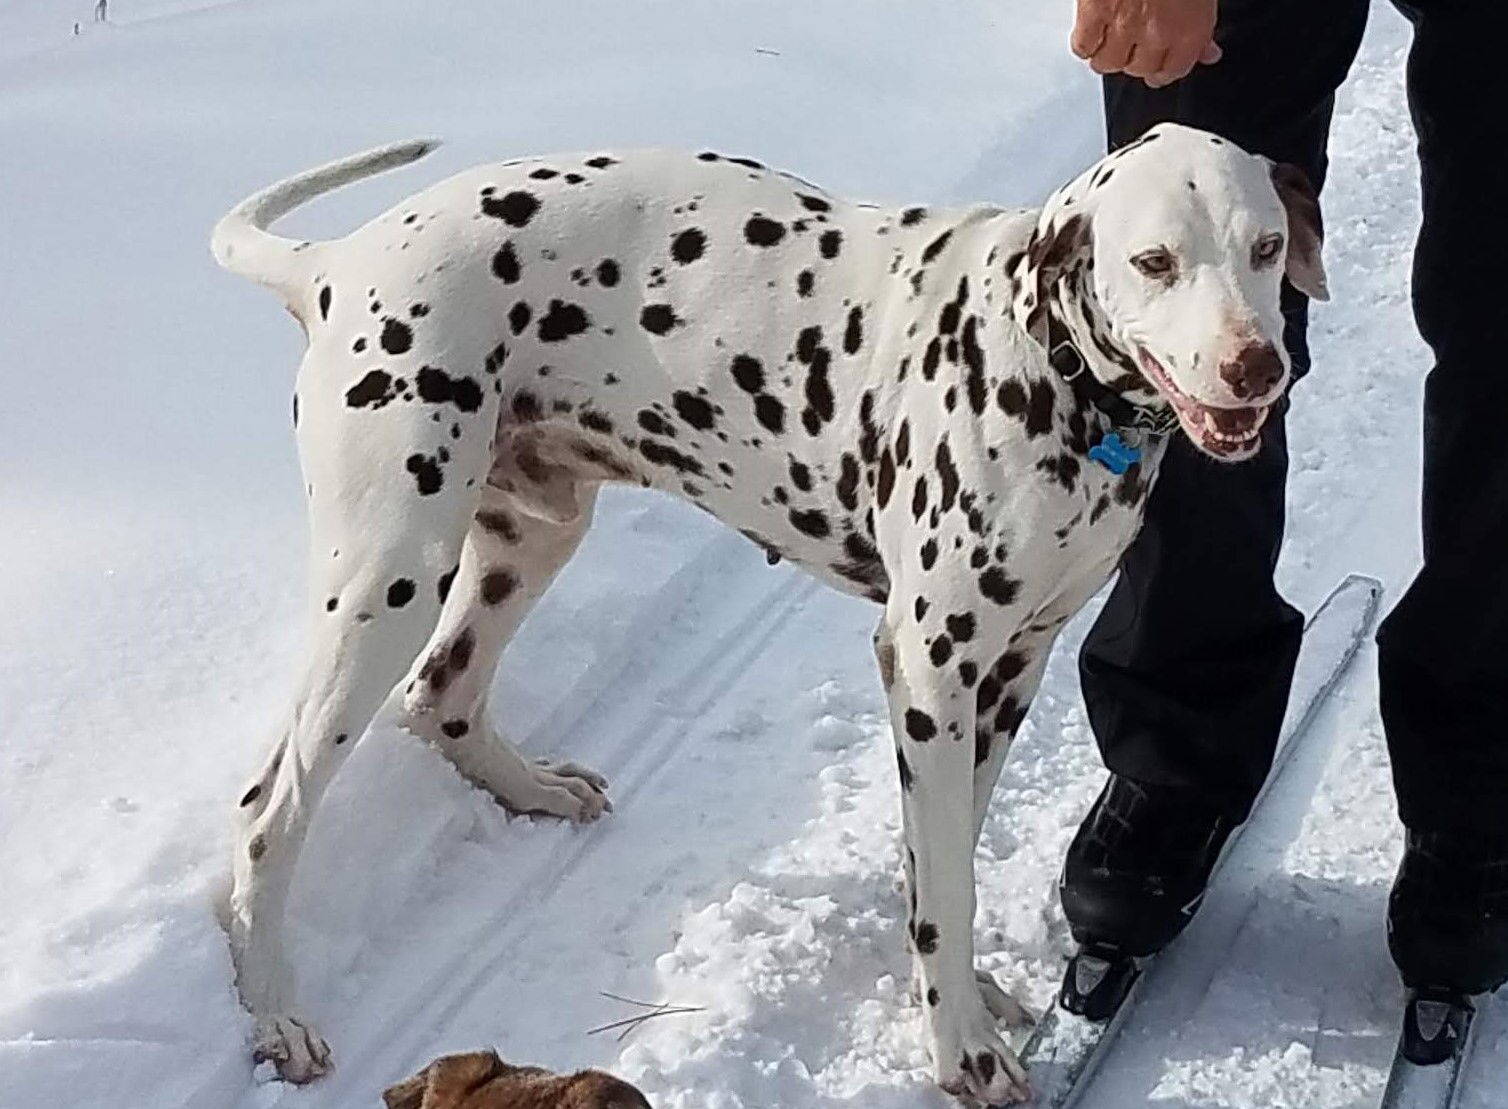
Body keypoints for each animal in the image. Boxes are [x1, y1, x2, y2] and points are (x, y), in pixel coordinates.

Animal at [209, 125, 1321, 1104]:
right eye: (1153, 261)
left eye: (1264, 247)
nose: (1253, 366)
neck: (1050, 371)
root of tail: (333, 265)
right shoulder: (931, 669)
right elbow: (943, 882)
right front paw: (958, 1046)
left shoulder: (1012, 667)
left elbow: (946, 857)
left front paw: (968, 993)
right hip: (390, 576)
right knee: (271, 805)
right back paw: (275, 1010)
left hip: (529, 537)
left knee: (441, 694)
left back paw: (532, 788)